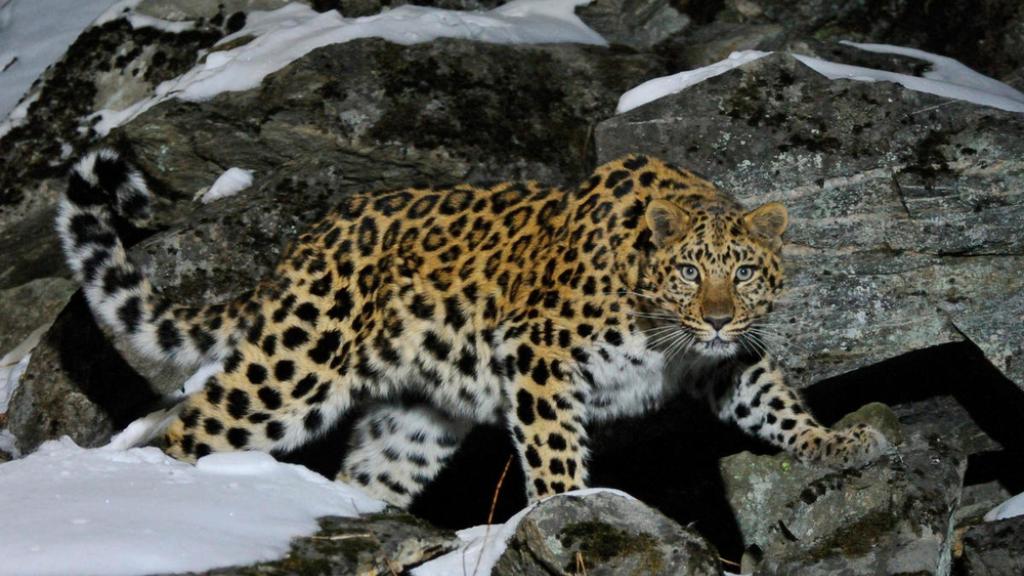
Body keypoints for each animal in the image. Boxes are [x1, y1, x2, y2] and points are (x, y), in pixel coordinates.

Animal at [57, 150, 890, 507]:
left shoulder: (726, 362)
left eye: (743, 274)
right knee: (187, 425)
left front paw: (840, 441)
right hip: (293, 370)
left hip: (414, 423)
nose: (716, 316)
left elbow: (775, 404)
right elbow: (553, 451)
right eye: (689, 271)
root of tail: (301, 246)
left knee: (366, 477)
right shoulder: (539, 352)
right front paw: (569, 508)